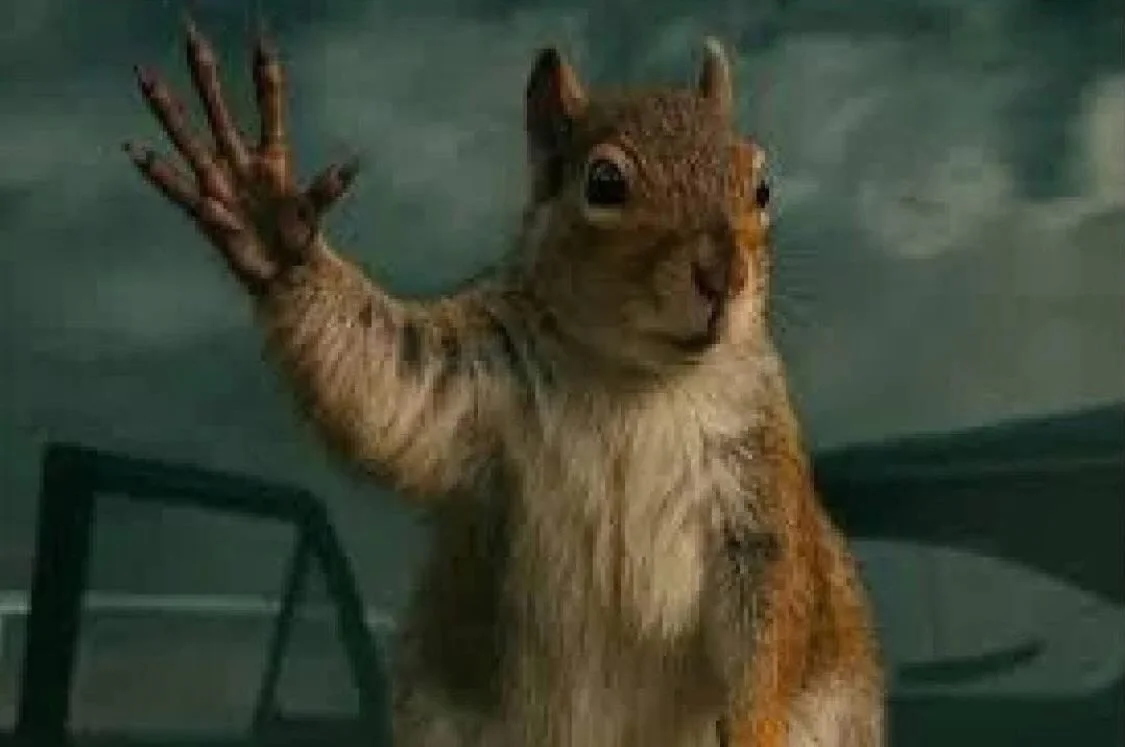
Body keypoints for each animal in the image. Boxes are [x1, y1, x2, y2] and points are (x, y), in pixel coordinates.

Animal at [125, 19, 884, 747]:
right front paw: (267, 222)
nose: (724, 276)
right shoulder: (469, 376)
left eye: (761, 185)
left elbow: (774, 617)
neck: (633, 373)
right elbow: (381, 383)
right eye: (604, 184)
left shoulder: (756, 473)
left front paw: (756, 728)